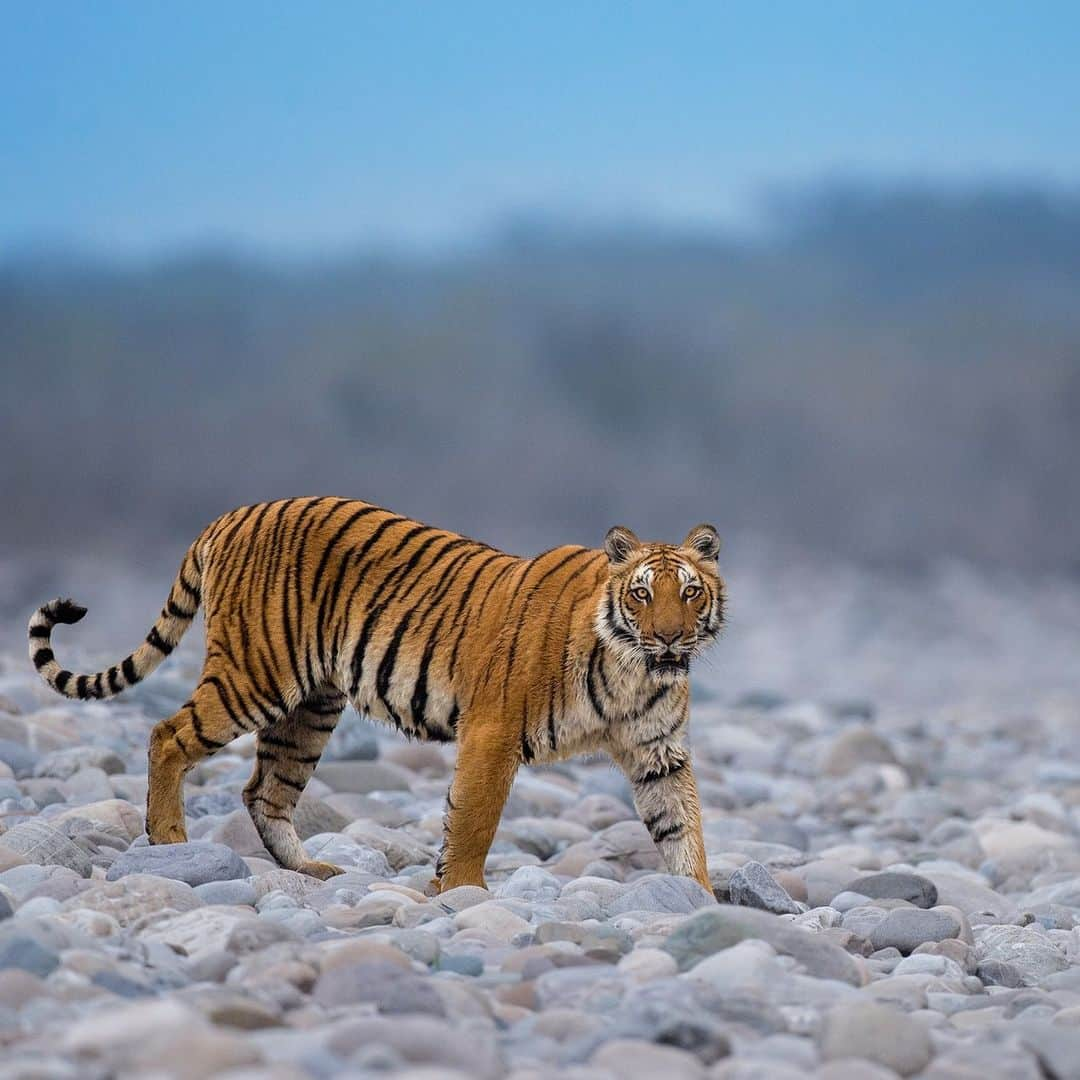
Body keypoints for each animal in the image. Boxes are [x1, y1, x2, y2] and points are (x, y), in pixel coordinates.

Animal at [29, 501, 725, 889]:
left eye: (690, 592)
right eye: (642, 593)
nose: (670, 637)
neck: (636, 670)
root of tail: (230, 516)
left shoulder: (659, 753)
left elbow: (683, 829)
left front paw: (698, 901)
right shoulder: (493, 732)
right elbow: (473, 820)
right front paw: (461, 893)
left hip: (309, 708)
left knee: (264, 791)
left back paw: (311, 872)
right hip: (255, 677)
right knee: (167, 735)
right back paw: (171, 840)